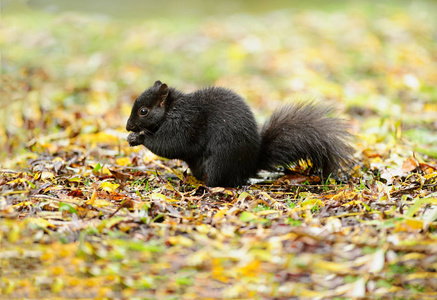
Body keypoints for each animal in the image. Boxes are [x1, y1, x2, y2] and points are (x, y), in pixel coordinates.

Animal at [124, 81, 352, 186]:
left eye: (143, 111)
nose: (127, 126)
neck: (171, 108)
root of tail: (250, 166)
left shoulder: (185, 123)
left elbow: (171, 145)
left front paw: (138, 137)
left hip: (220, 162)